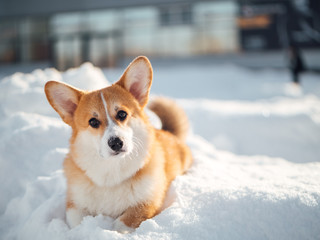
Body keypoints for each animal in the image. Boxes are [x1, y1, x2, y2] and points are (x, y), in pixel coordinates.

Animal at [44, 55, 192, 232]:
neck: (112, 171)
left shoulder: (147, 202)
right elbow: (77, 224)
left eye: (122, 114)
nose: (116, 143)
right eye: (93, 122)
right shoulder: (75, 204)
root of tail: (169, 133)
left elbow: (122, 223)